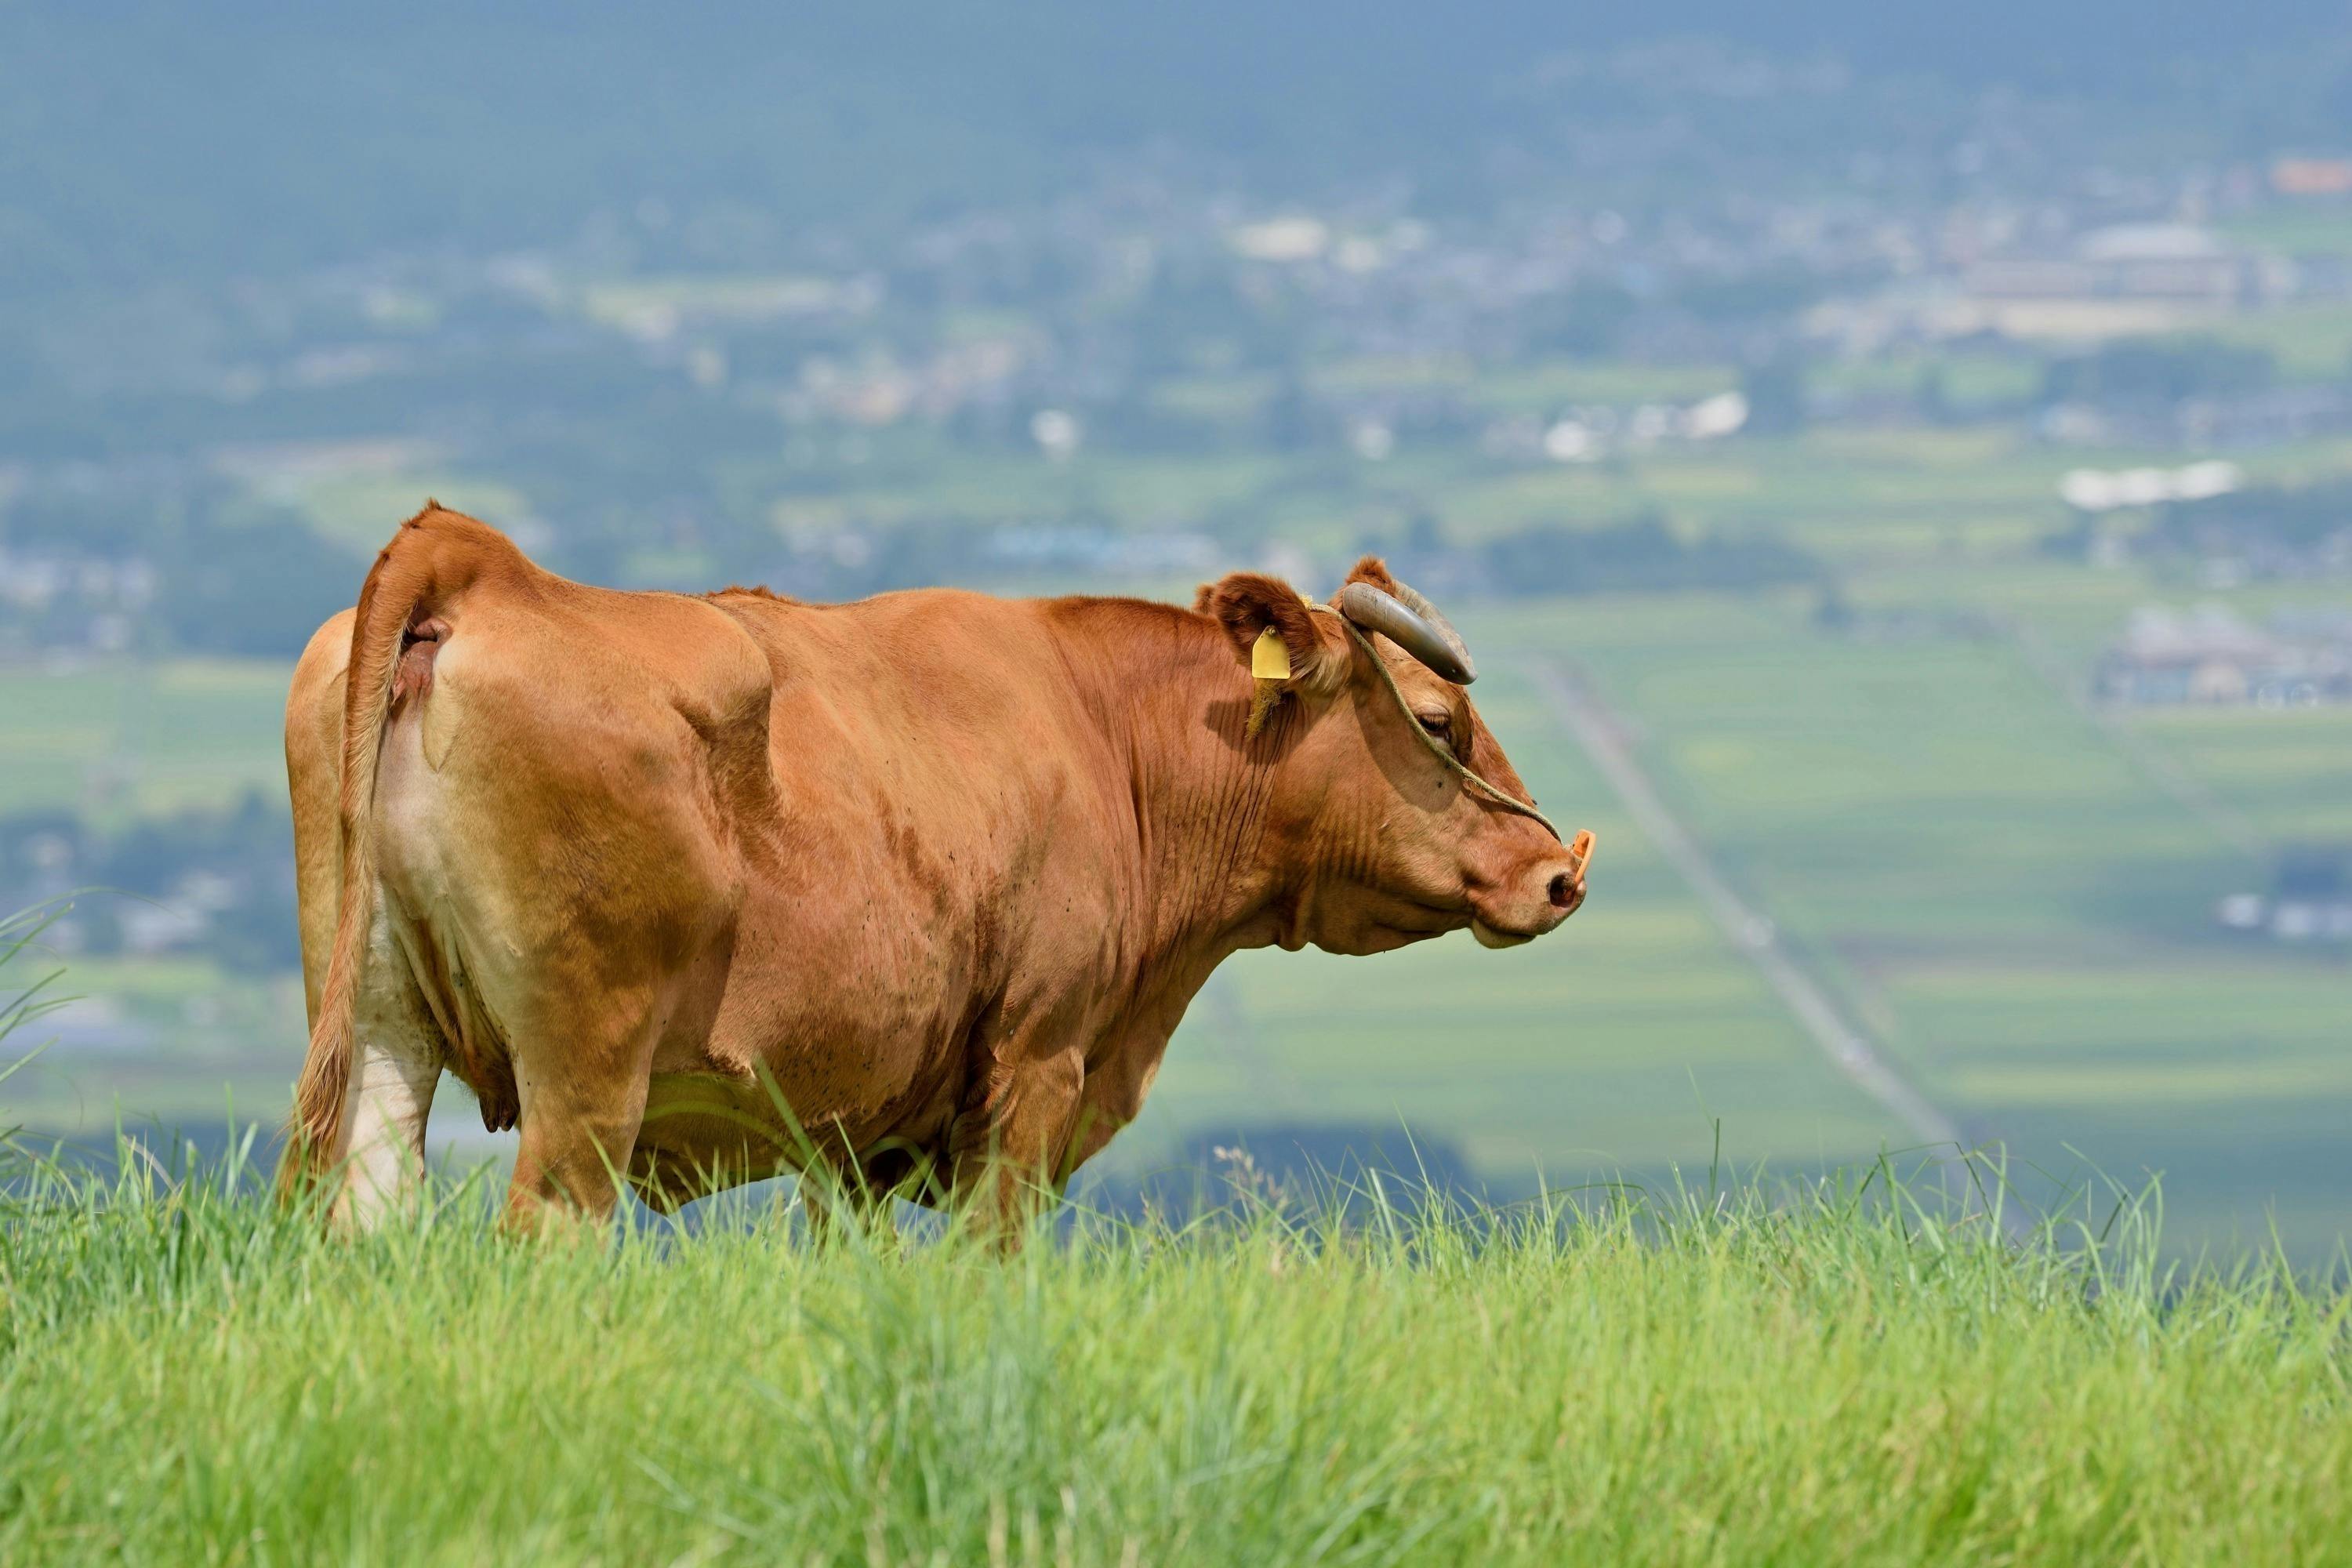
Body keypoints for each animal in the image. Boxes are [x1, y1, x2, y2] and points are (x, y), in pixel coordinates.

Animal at [285, 510, 1590, 1232]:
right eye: (1439, 719)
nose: (1556, 873)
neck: (1105, 735)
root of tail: (484, 565)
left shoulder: (860, 1129)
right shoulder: (1039, 1061)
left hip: (382, 1032)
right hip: (586, 1072)